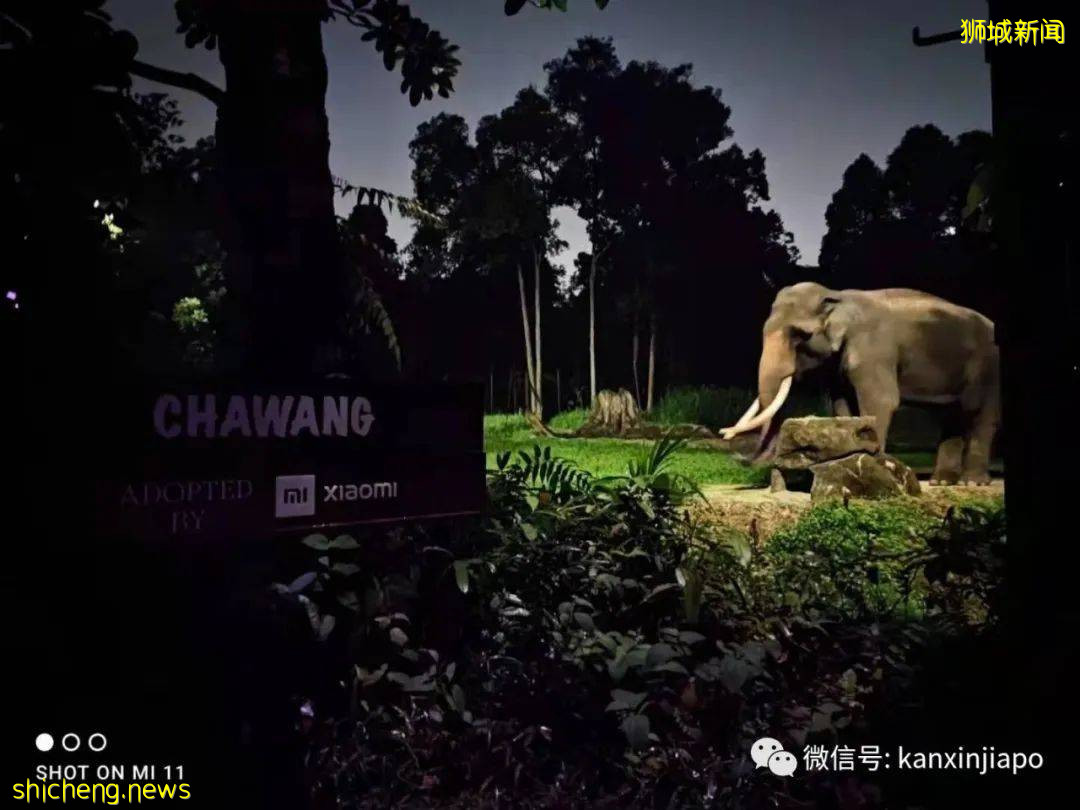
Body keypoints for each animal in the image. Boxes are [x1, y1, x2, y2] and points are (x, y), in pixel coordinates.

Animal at [720, 282, 1000, 485]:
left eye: (801, 335)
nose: (736, 453)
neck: (837, 296)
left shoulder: (874, 349)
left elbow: (882, 399)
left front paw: (878, 468)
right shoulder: (838, 364)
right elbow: (842, 404)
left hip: (989, 365)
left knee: (981, 415)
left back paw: (973, 483)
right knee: (953, 415)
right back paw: (941, 482)